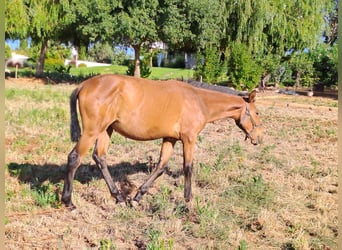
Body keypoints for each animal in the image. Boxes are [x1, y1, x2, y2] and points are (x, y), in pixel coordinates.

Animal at [60, 74, 262, 209]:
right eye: (257, 112)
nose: (259, 138)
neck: (199, 100)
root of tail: (84, 85)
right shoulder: (189, 138)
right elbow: (188, 167)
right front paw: (188, 201)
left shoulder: (170, 139)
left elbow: (161, 167)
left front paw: (137, 196)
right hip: (92, 131)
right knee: (74, 157)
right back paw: (68, 201)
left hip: (105, 130)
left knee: (100, 157)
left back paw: (119, 197)